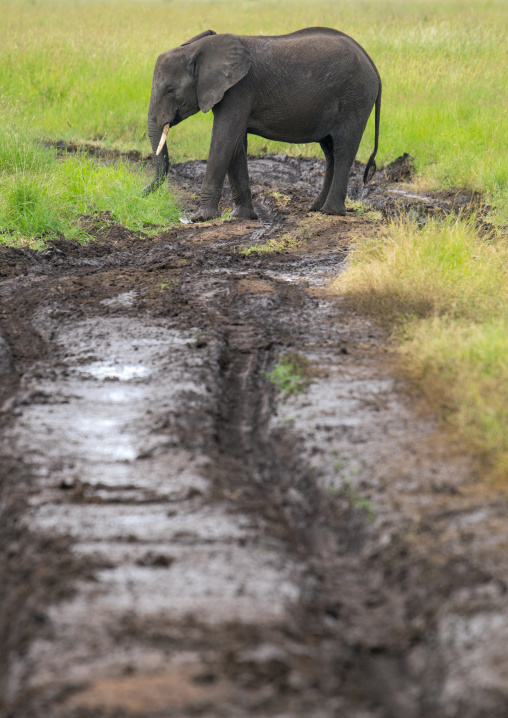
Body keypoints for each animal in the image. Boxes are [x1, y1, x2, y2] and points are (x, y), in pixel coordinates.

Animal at [143, 27, 381, 221]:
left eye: (170, 90)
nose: (141, 193)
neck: (200, 49)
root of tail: (372, 65)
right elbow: (236, 144)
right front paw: (240, 217)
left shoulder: (239, 90)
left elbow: (224, 140)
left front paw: (201, 218)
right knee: (330, 150)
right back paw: (316, 208)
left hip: (355, 98)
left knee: (343, 149)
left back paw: (331, 212)